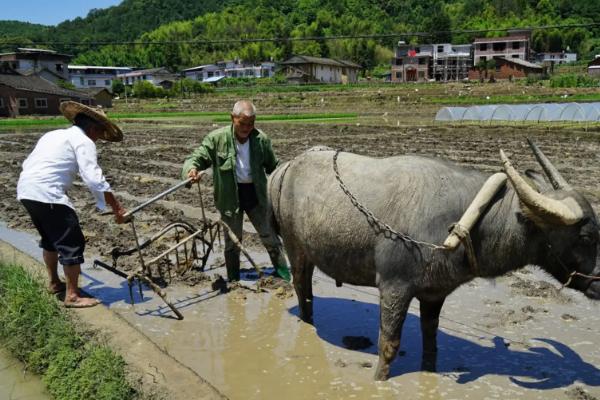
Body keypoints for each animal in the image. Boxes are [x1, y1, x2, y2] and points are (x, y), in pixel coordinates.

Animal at [268, 141, 600, 382]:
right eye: (585, 236)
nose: (598, 283)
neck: (466, 221)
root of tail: (285, 168)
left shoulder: (434, 293)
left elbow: (431, 340)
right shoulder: (394, 287)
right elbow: (389, 345)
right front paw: (379, 380)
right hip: (295, 249)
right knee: (303, 289)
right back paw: (307, 321)